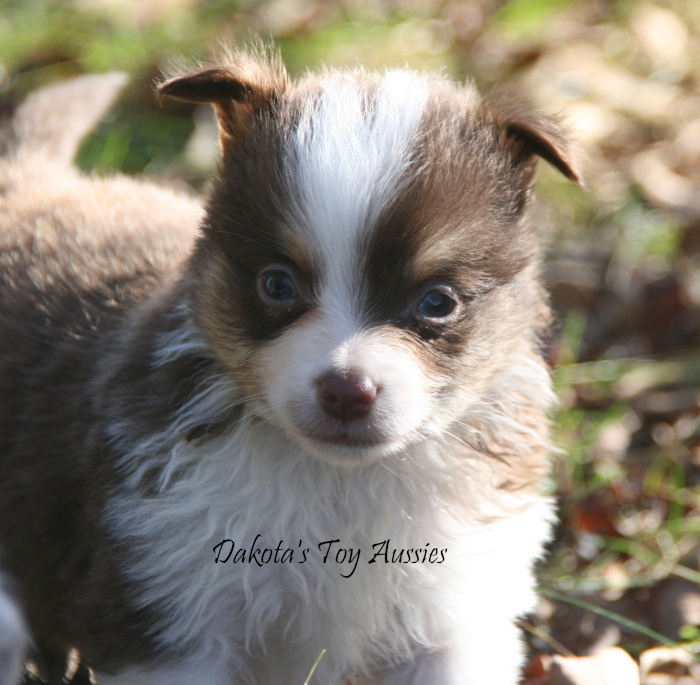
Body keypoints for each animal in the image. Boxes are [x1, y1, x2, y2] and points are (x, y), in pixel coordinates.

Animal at [0, 49, 580, 684]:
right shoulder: (166, 620)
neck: (339, 482)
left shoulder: (457, 616)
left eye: (437, 302)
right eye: (278, 285)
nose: (347, 392)